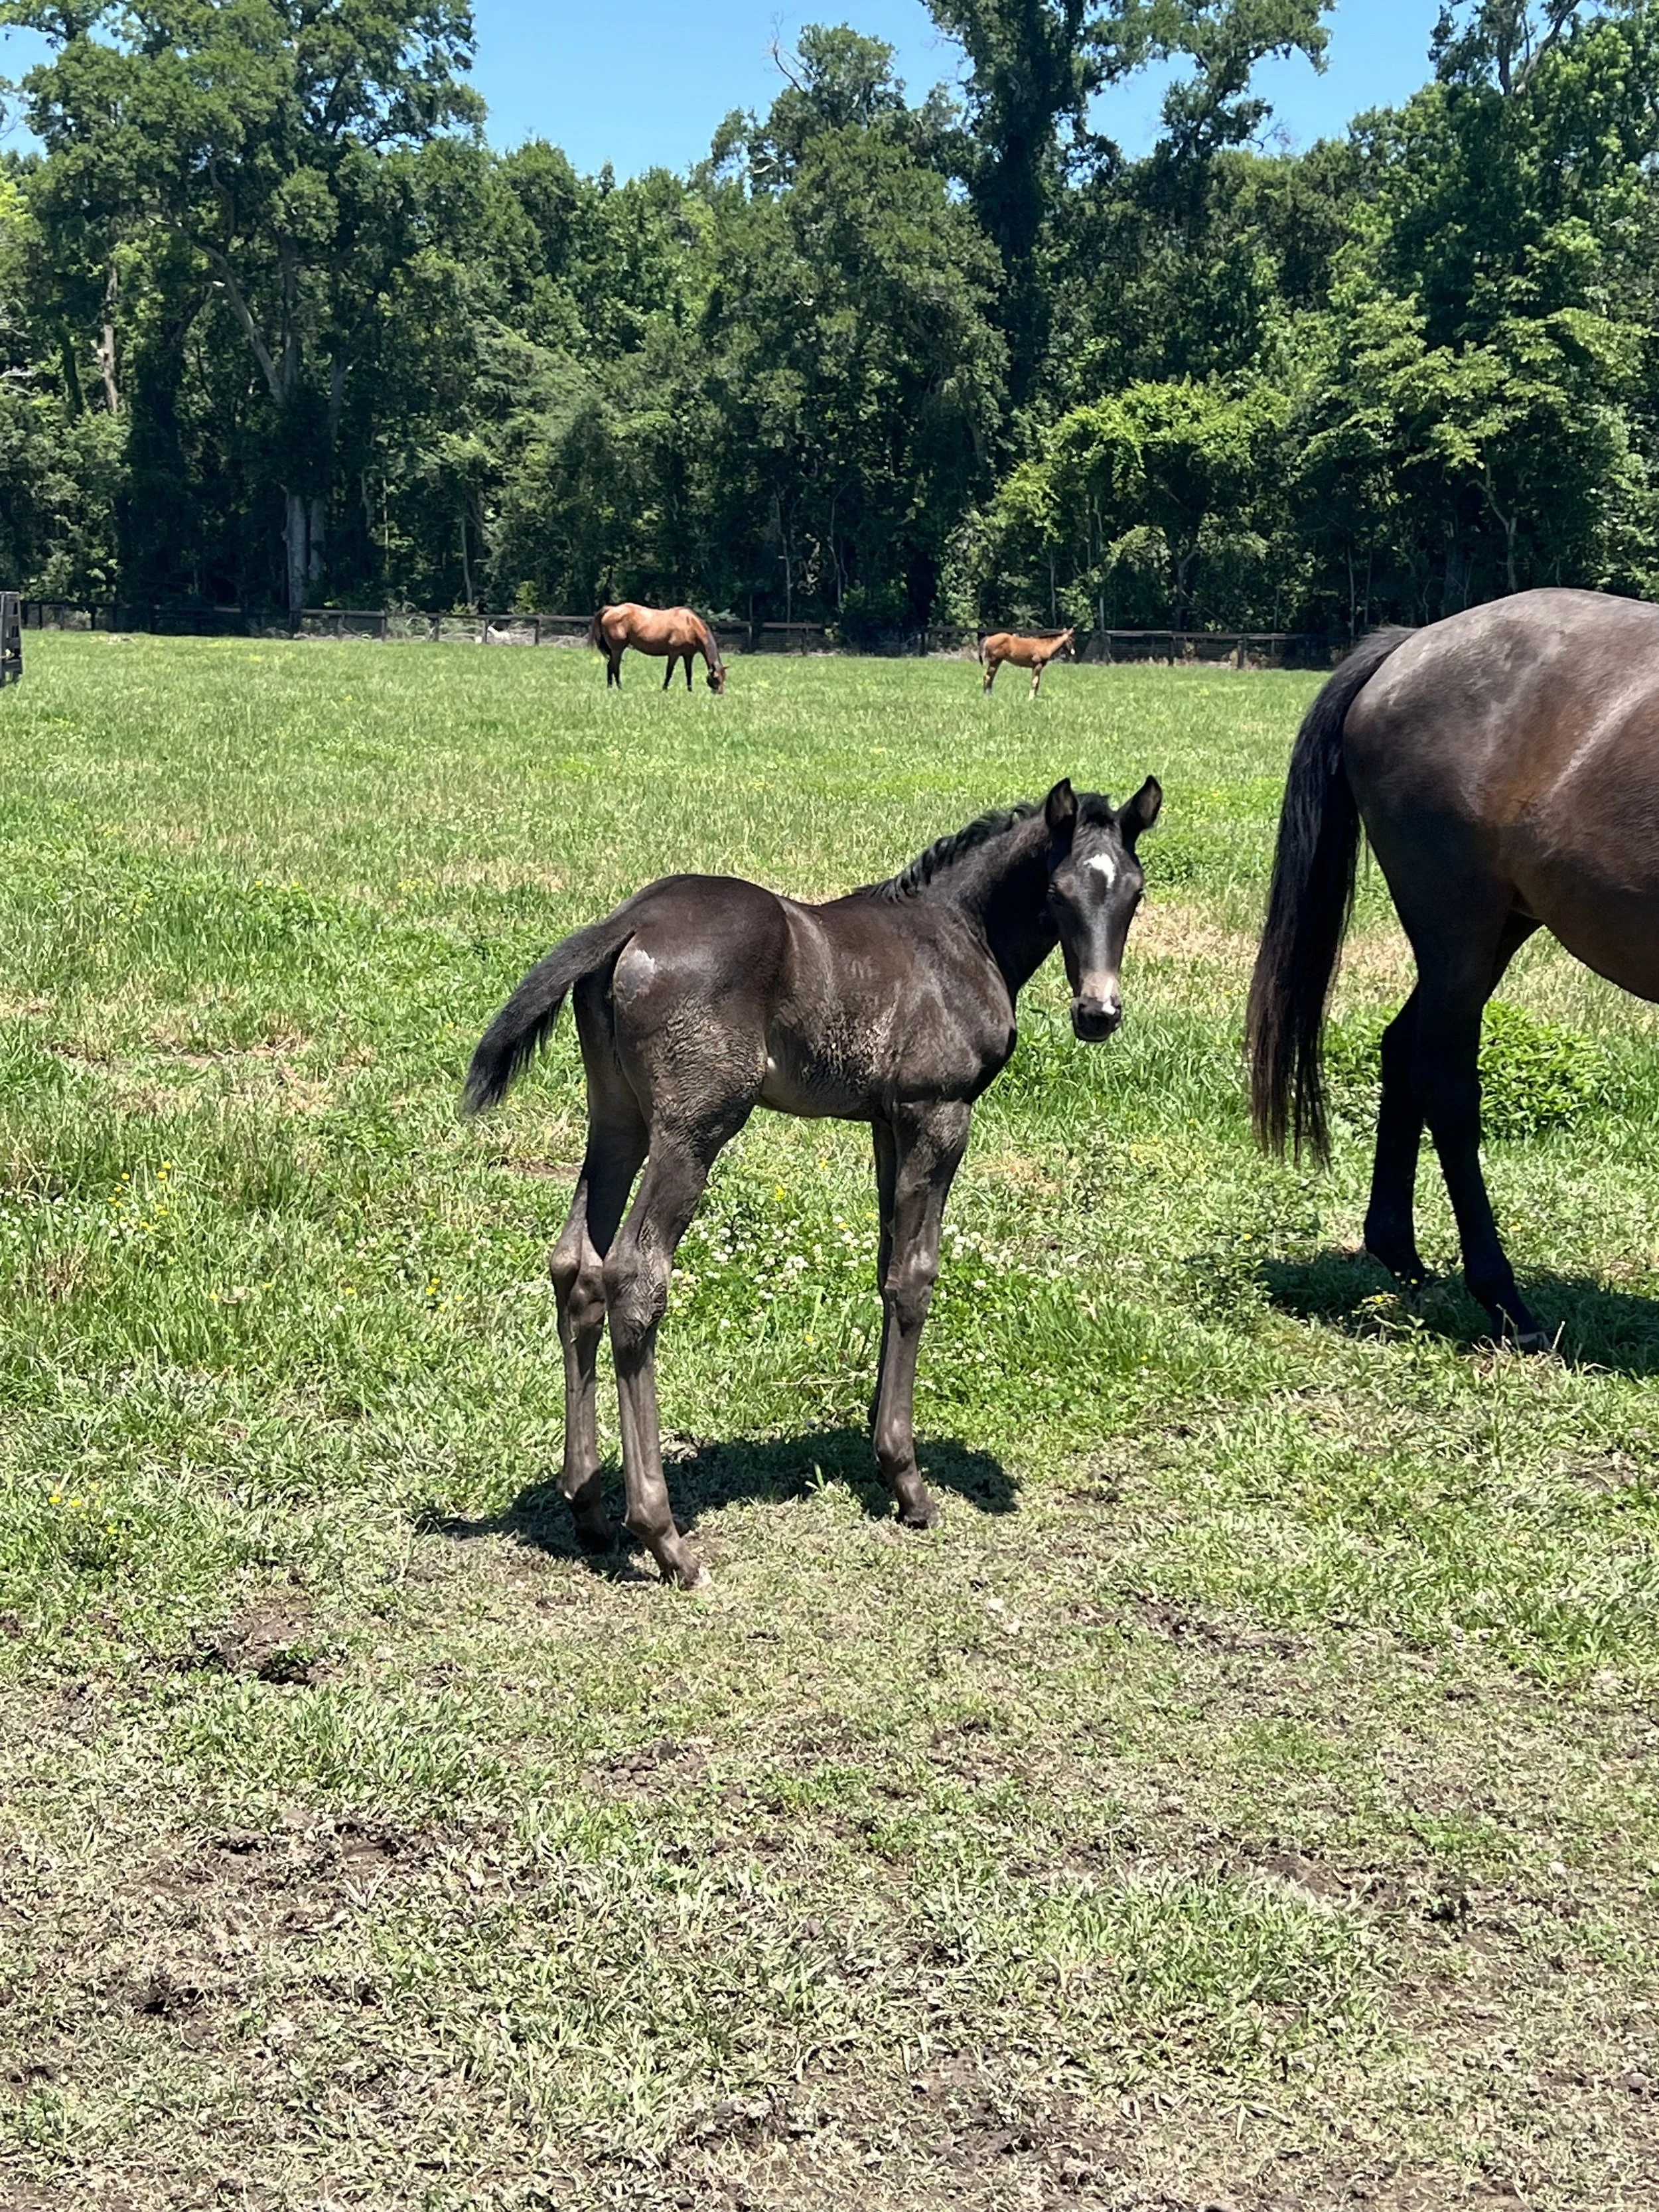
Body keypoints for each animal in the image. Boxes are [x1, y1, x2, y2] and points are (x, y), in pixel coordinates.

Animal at [465, 772, 1163, 1587]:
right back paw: (664, 1537)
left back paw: (589, 1508)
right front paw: (909, 1483)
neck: (957, 935)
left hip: (617, 1118)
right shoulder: (941, 1113)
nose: (1098, 1012)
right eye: (1057, 890)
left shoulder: (889, 1121)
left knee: (576, 1265)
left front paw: (880, 1448)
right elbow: (917, 1275)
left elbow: (888, 1264)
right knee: (635, 1276)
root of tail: (631, 920)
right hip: (693, 1128)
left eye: (1134, 891)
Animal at [589, 603, 727, 693]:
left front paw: (690, 690)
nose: (719, 693)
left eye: (724, 678)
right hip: (618, 649)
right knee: (615, 667)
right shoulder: (674, 653)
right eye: (715, 678)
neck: (690, 625)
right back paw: (620, 688)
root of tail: (611, 609)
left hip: (614, 650)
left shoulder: (688, 655)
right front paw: (664, 689)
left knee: (610, 666)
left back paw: (610, 687)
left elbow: (689, 673)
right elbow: (669, 672)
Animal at [980, 627, 1077, 697]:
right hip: (995, 661)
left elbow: (1037, 683)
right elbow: (1034, 682)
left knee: (990, 677)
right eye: (1071, 639)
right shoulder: (1037, 665)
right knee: (987, 677)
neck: (1045, 645)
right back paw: (987, 697)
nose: (1073, 653)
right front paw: (1030, 699)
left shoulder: (1038, 667)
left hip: (997, 662)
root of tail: (989, 638)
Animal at [1248, 587, 1659, 1351]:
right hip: (1458, 930)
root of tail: (1411, 646)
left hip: (1497, 930)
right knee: (1443, 1080)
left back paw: (1400, 1252)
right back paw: (1505, 1302)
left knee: (1401, 1048)